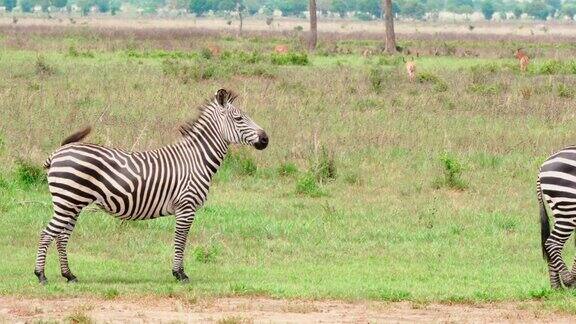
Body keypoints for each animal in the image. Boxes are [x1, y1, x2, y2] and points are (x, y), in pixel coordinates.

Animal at [35, 88, 268, 284]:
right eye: (238, 118)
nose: (265, 139)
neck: (196, 159)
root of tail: (57, 153)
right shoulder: (186, 207)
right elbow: (181, 240)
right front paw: (180, 274)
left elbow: (180, 240)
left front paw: (178, 272)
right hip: (68, 201)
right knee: (47, 233)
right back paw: (41, 275)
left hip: (73, 203)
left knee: (62, 236)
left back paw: (69, 275)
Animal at [536, 147, 576, 288]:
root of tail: (543, 166)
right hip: (568, 209)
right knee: (552, 243)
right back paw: (569, 281)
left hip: (561, 211)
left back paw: (556, 286)